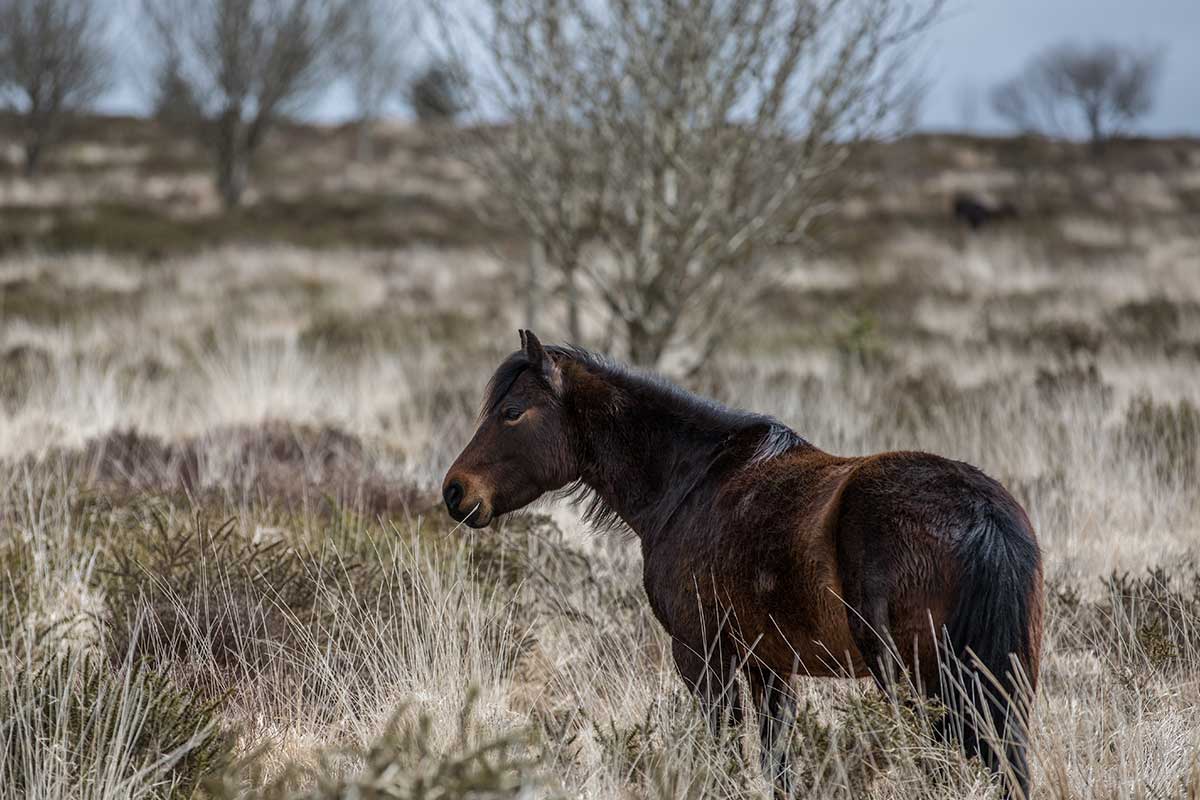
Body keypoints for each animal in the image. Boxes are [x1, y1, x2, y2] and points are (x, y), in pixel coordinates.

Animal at [442, 330, 1043, 798]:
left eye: (511, 413)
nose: (455, 491)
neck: (692, 481)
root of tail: (982, 513)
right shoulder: (770, 667)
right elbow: (776, 766)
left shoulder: (704, 657)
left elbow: (724, 753)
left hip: (922, 686)